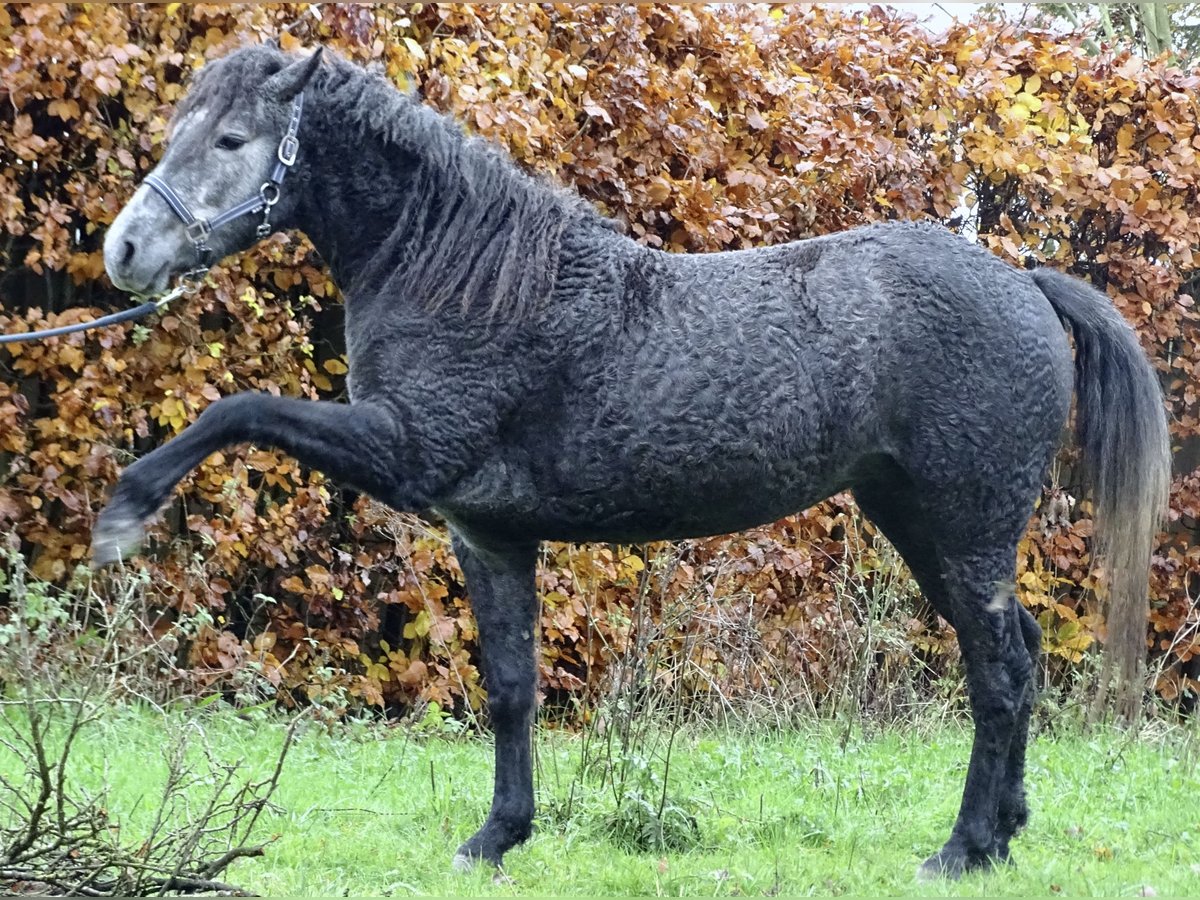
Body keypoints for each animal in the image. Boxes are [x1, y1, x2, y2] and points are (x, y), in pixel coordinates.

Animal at [98, 45, 1166, 878]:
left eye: (233, 140)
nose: (126, 250)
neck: (470, 277)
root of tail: (1025, 282)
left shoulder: (404, 451)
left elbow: (237, 408)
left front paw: (124, 512)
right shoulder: (488, 533)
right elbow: (511, 688)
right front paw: (496, 837)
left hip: (963, 528)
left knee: (999, 671)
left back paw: (962, 848)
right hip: (921, 525)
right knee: (1020, 649)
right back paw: (1004, 835)